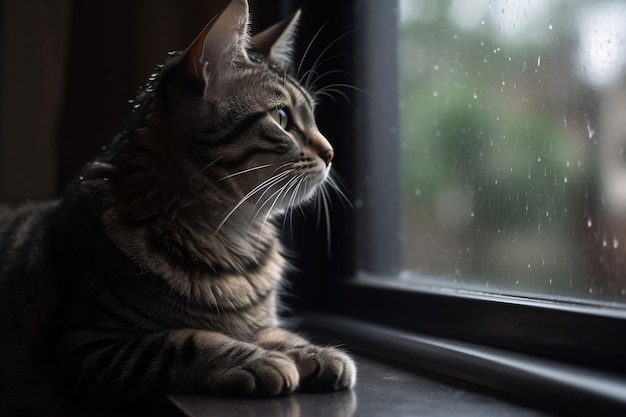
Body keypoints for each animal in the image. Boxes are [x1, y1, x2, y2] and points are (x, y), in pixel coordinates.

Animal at [0, 1, 356, 414]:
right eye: (282, 118)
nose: (332, 152)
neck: (233, 237)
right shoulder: (87, 344)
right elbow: (184, 340)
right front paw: (259, 359)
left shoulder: (258, 321)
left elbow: (273, 330)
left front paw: (312, 351)